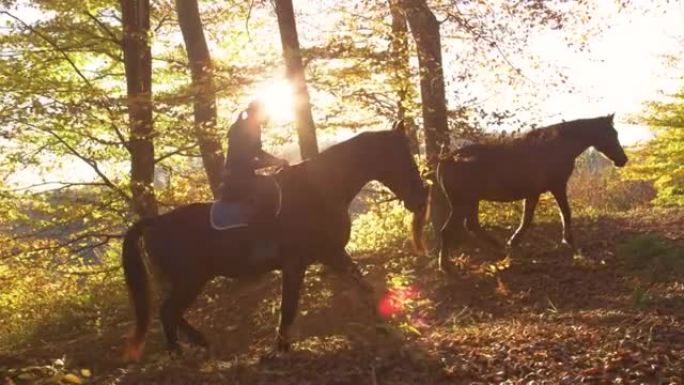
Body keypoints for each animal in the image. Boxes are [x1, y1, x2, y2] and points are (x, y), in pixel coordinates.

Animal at [120, 121, 424, 358]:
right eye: (400, 157)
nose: (420, 196)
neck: (319, 190)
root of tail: (155, 223)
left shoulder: (332, 254)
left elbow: (363, 285)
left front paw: (388, 325)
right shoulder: (299, 263)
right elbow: (288, 307)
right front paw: (281, 349)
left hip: (186, 281)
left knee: (172, 313)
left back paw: (200, 343)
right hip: (189, 280)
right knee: (168, 313)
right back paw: (179, 352)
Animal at [436, 114, 628, 270]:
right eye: (612, 134)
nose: (623, 160)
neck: (557, 145)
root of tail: (447, 159)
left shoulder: (533, 193)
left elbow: (527, 219)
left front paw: (513, 242)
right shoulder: (557, 186)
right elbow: (565, 212)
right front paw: (569, 241)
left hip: (470, 201)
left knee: (471, 225)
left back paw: (498, 248)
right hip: (462, 203)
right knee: (448, 230)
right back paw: (446, 266)